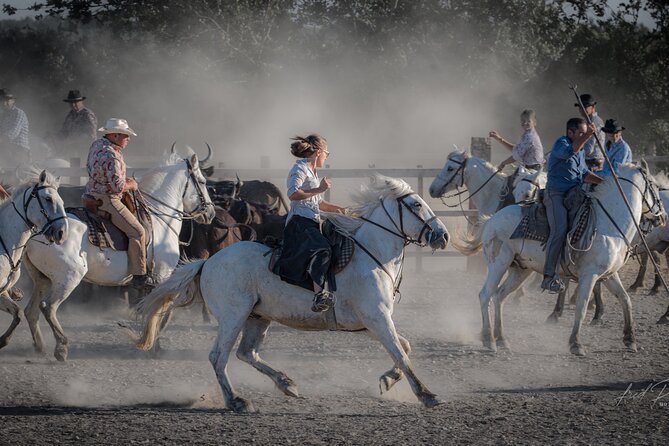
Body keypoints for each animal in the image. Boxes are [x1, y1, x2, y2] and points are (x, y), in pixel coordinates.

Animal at [0, 171, 68, 348]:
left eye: (62, 201)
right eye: (48, 199)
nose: (62, 232)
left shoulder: (1, 292)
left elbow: (18, 314)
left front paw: (2, 341)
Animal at [22, 152, 214, 360]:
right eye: (202, 181)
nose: (211, 213)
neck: (159, 219)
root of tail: (39, 231)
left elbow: (151, 309)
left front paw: (148, 341)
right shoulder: (162, 276)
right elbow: (160, 312)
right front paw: (153, 345)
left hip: (42, 279)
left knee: (31, 310)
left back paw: (39, 346)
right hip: (67, 279)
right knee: (48, 307)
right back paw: (61, 347)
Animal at [132, 176, 448, 412]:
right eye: (416, 204)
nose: (442, 235)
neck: (371, 255)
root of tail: (208, 263)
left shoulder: (371, 323)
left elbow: (404, 348)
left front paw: (387, 380)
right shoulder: (377, 318)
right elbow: (402, 354)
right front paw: (427, 395)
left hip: (258, 317)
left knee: (247, 353)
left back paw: (286, 383)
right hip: (234, 317)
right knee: (218, 357)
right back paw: (237, 401)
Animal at [448, 164, 664, 356]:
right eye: (654, 185)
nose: (661, 216)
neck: (608, 223)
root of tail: (492, 219)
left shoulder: (609, 274)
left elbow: (625, 299)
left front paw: (630, 340)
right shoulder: (590, 275)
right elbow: (582, 307)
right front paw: (576, 344)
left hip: (521, 270)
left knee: (500, 296)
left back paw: (502, 339)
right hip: (498, 264)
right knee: (485, 295)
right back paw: (489, 340)